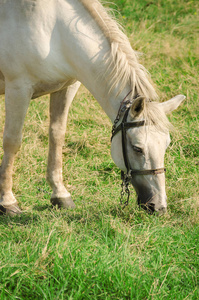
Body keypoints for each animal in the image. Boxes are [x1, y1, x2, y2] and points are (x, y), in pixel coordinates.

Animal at [0, 0, 185, 216]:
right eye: (137, 148)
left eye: (166, 145)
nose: (159, 206)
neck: (54, 30)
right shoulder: (18, 88)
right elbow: (12, 142)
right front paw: (7, 202)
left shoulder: (66, 87)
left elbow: (57, 136)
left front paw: (60, 194)